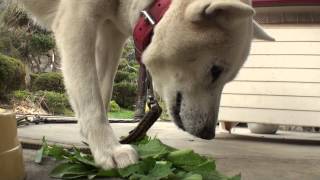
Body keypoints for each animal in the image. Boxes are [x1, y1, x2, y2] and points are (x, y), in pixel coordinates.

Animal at [15, 0, 272, 170]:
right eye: (215, 70)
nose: (208, 134)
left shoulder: (110, 33)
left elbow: (102, 92)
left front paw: (97, 145)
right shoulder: (78, 20)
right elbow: (90, 98)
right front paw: (109, 151)